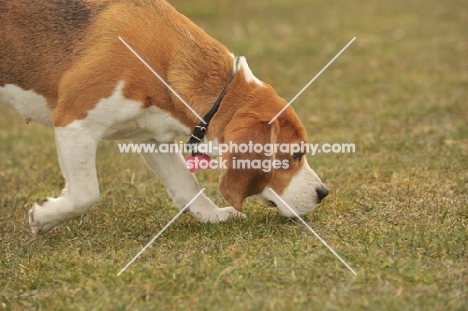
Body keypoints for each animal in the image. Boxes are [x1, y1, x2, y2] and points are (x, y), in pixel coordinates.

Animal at [0, 0, 330, 234]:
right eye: (295, 154)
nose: (323, 193)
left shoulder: (150, 137)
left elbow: (186, 184)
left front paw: (212, 215)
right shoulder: (74, 120)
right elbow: (86, 193)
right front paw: (43, 217)